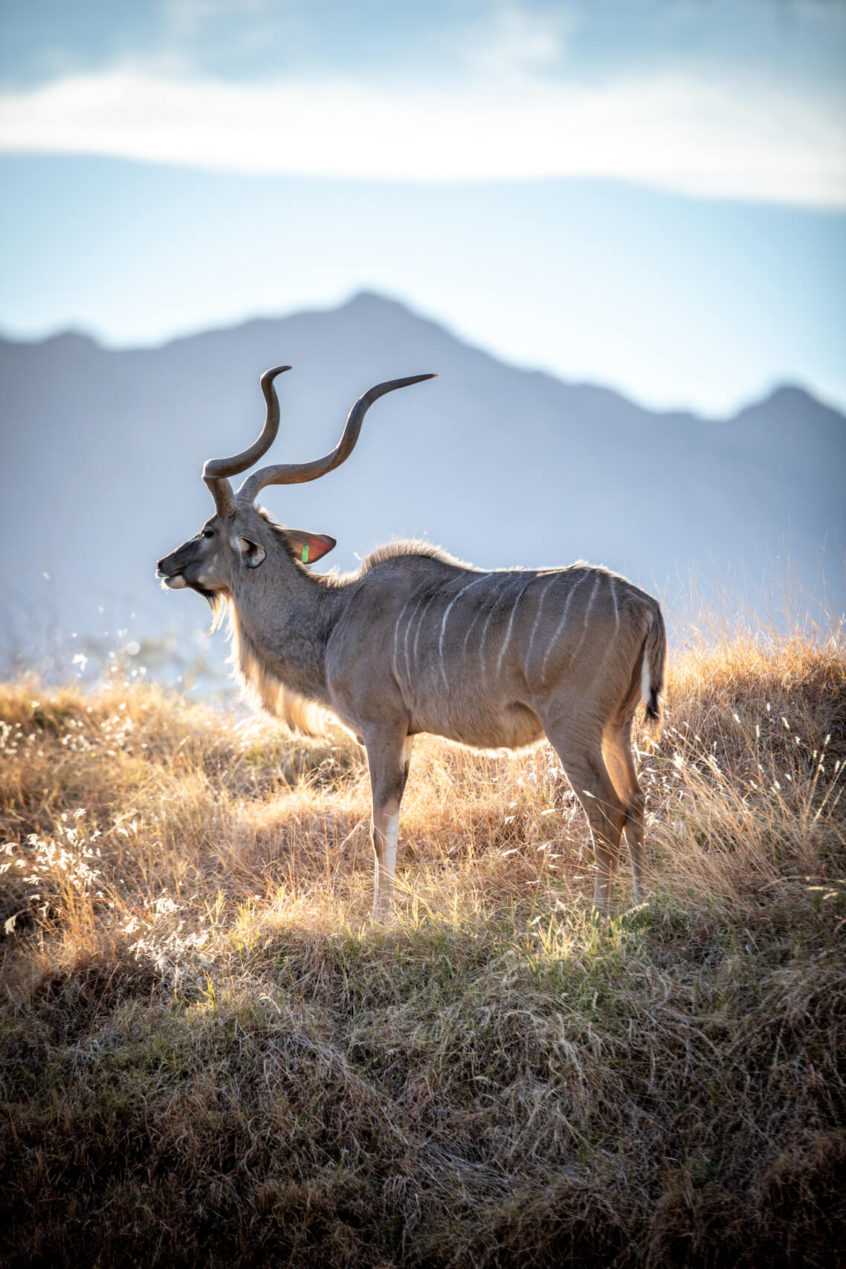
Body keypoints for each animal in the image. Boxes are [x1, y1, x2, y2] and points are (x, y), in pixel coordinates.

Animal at [155, 365, 664, 913]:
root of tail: (641, 603)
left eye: (208, 530)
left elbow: (380, 829)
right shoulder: (404, 736)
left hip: (573, 728)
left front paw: (381, 917)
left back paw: (603, 910)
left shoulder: (382, 728)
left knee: (607, 811)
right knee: (636, 803)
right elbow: (393, 823)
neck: (333, 618)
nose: (164, 565)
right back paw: (642, 901)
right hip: (617, 726)